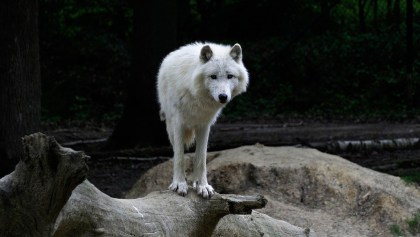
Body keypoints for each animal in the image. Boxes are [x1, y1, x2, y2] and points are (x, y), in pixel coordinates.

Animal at [158, 42, 249, 198]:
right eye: (213, 76)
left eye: (229, 76)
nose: (223, 96)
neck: (198, 97)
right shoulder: (179, 124)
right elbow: (179, 157)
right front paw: (179, 184)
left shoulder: (204, 125)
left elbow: (201, 159)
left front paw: (202, 186)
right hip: (170, 126)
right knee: (176, 150)